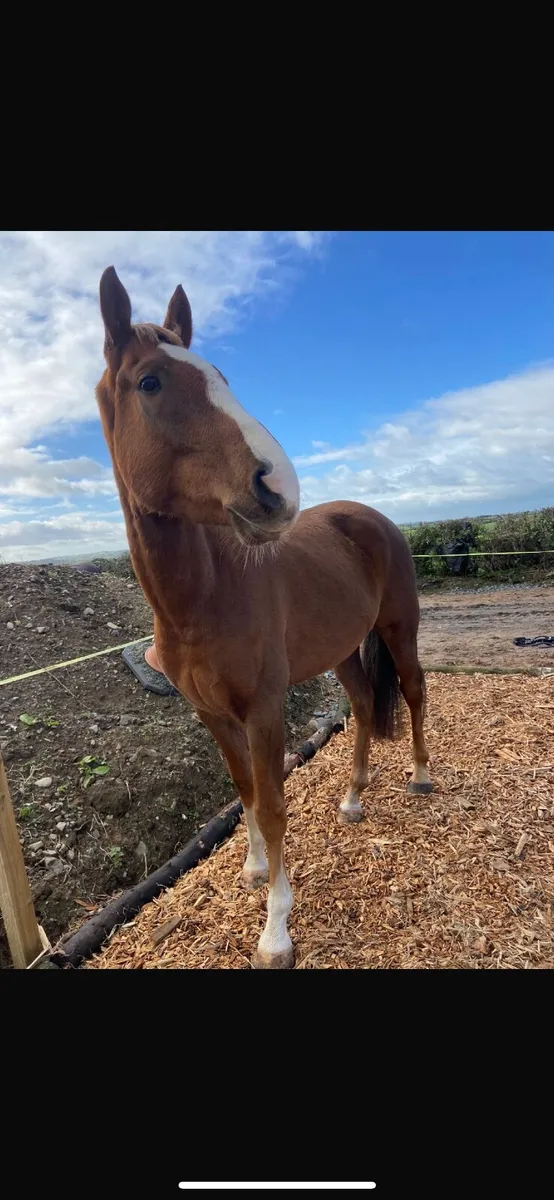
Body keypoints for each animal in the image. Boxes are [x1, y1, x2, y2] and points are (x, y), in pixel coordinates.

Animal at [95, 266, 432, 969]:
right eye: (150, 382)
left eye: (220, 373)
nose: (277, 486)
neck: (203, 597)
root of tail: (373, 517)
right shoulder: (212, 713)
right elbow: (243, 788)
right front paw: (252, 869)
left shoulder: (263, 708)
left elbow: (274, 802)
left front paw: (276, 929)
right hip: (342, 650)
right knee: (364, 707)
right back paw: (353, 799)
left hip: (398, 629)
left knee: (414, 690)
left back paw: (419, 776)